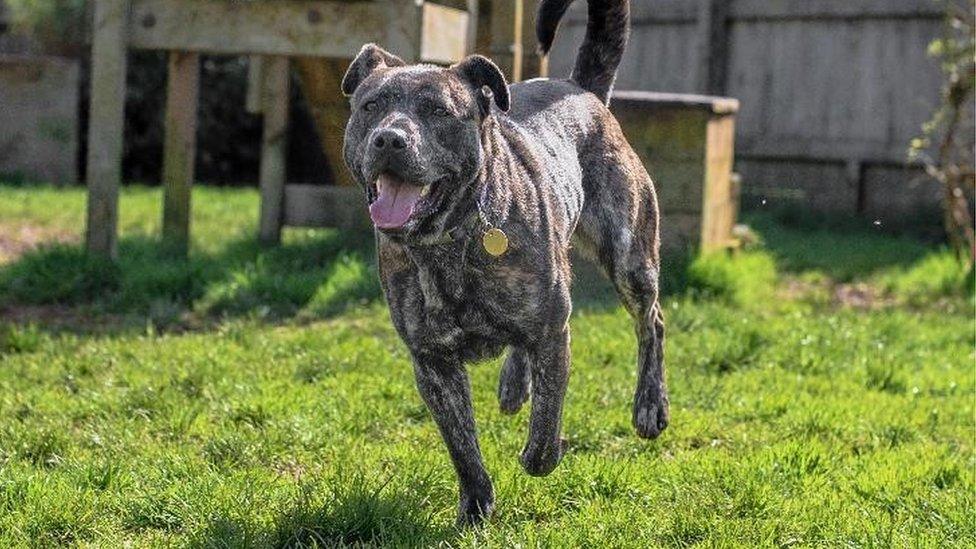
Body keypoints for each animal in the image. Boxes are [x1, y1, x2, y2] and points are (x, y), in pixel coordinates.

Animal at [340, 0, 668, 524]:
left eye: (438, 111)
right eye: (371, 106)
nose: (389, 140)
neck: (450, 238)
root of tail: (582, 89)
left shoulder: (554, 332)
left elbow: (547, 423)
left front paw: (539, 456)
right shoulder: (431, 362)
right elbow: (463, 448)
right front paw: (475, 509)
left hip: (629, 257)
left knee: (651, 323)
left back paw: (649, 406)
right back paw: (515, 385)